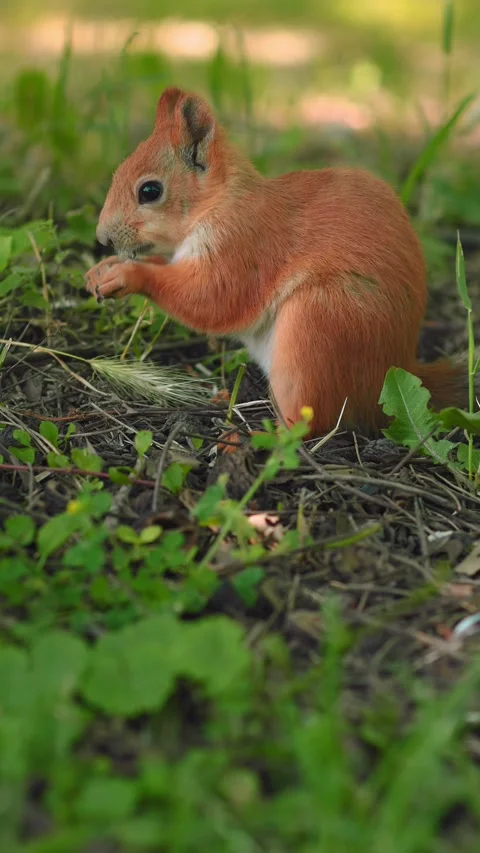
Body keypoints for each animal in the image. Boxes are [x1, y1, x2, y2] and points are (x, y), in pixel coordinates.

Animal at [85, 86, 467, 439]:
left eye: (150, 191)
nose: (103, 238)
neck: (218, 202)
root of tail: (394, 371)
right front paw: (101, 270)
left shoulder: (243, 246)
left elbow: (211, 299)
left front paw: (129, 274)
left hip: (318, 325)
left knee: (310, 424)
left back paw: (260, 437)